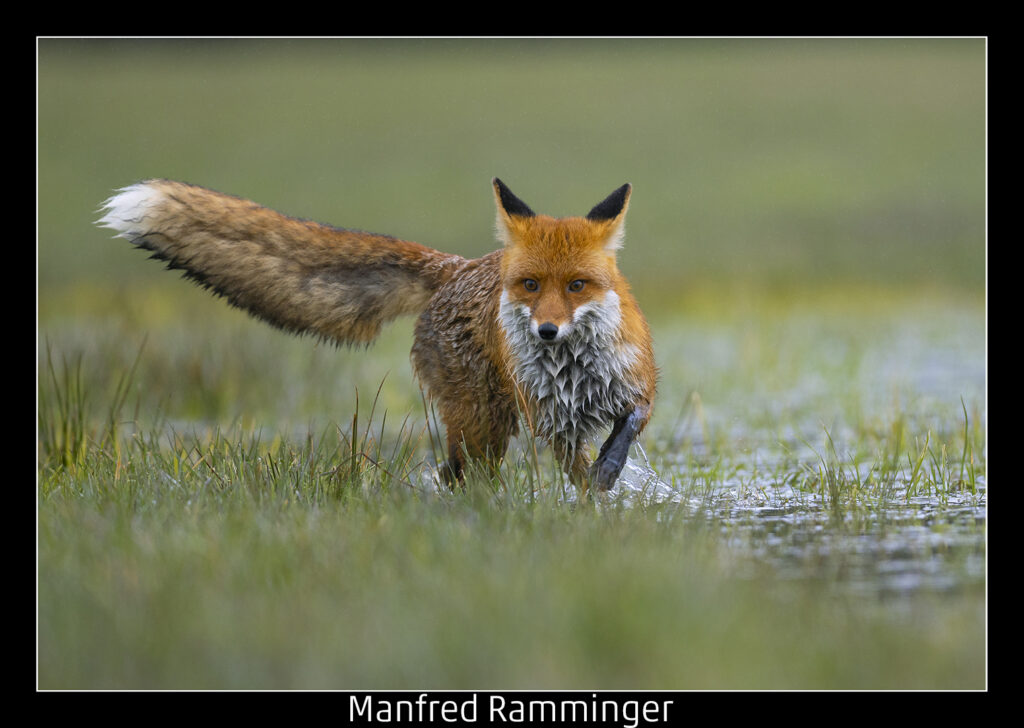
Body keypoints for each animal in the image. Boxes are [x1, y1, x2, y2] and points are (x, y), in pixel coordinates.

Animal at [97, 177, 657, 492]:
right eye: (531, 285)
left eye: (577, 286)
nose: (546, 330)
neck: (573, 370)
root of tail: (456, 266)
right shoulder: (552, 423)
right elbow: (580, 476)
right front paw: (596, 506)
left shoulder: (636, 385)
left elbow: (628, 425)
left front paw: (609, 474)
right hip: (483, 422)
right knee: (461, 474)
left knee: (457, 474)